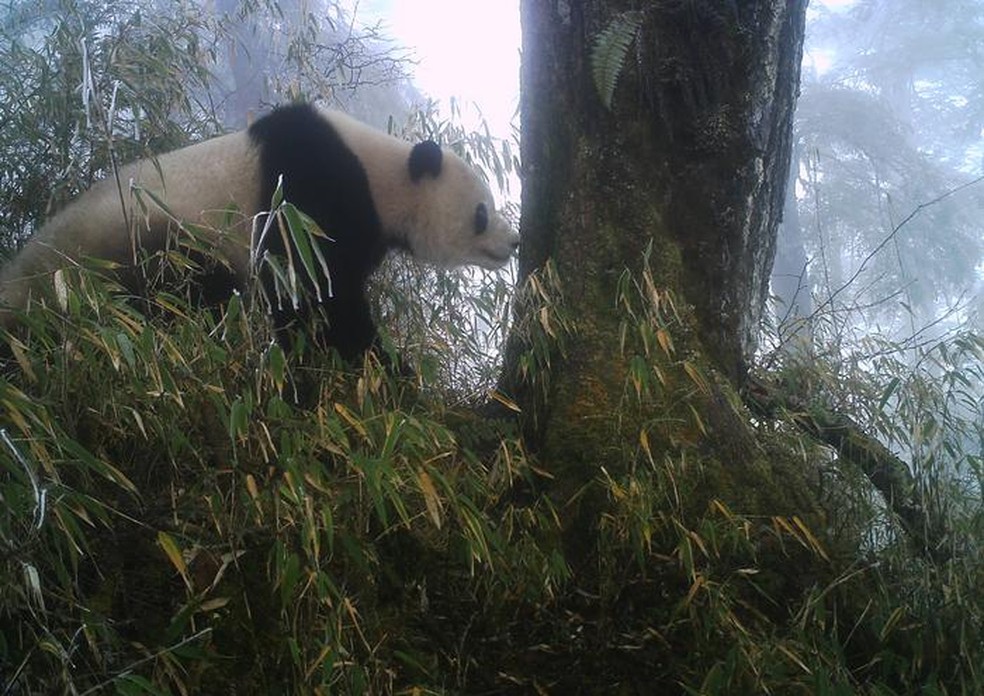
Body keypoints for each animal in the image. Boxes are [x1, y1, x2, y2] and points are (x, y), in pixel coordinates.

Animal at [0, 103, 520, 360]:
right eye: (481, 212)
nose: (513, 241)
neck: (382, 174)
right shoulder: (309, 193)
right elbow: (312, 294)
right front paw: (383, 366)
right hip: (142, 245)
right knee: (178, 298)